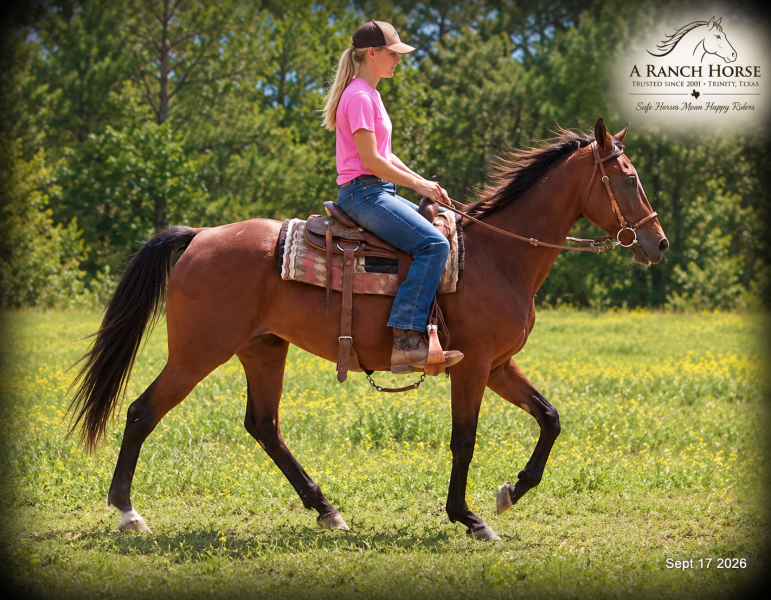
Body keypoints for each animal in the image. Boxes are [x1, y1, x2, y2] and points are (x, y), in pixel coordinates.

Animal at [67, 118, 669, 541]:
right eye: (629, 178)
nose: (658, 243)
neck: (498, 256)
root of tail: (199, 236)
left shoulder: (498, 365)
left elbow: (550, 417)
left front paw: (510, 491)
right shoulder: (472, 366)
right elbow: (465, 439)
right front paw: (470, 517)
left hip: (263, 350)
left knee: (264, 426)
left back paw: (327, 510)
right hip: (197, 353)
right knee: (142, 412)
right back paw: (128, 513)